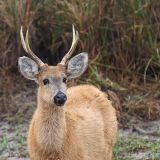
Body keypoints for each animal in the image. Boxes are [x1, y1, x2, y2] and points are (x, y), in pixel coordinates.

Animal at [18, 25, 117, 160]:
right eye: (45, 80)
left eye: (65, 79)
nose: (60, 97)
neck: (52, 150)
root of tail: (94, 89)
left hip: (108, 147)